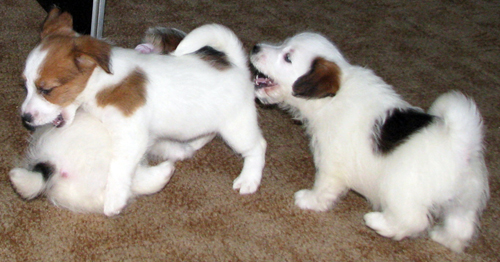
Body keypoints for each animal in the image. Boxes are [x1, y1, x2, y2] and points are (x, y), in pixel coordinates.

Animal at [20, 8, 266, 217]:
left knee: (257, 147)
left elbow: (119, 169)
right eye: (26, 85)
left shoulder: (131, 135)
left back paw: (249, 180)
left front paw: (114, 200)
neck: (101, 81)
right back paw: (192, 145)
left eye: (46, 90)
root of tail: (236, 65)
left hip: (237, 127)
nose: (25, 118)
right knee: (209, 133)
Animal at [250, 32, 488, 252]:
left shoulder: (331, 163)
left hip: (400, 189)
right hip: (465, 200)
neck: (332, 98)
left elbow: (324, 187)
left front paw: (310, 200)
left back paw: (379, 222)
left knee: (413, 220)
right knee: (461, 225)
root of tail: (459, 143)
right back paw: (445, 238)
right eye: (283, 44)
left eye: (287, 57)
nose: (255, 47)